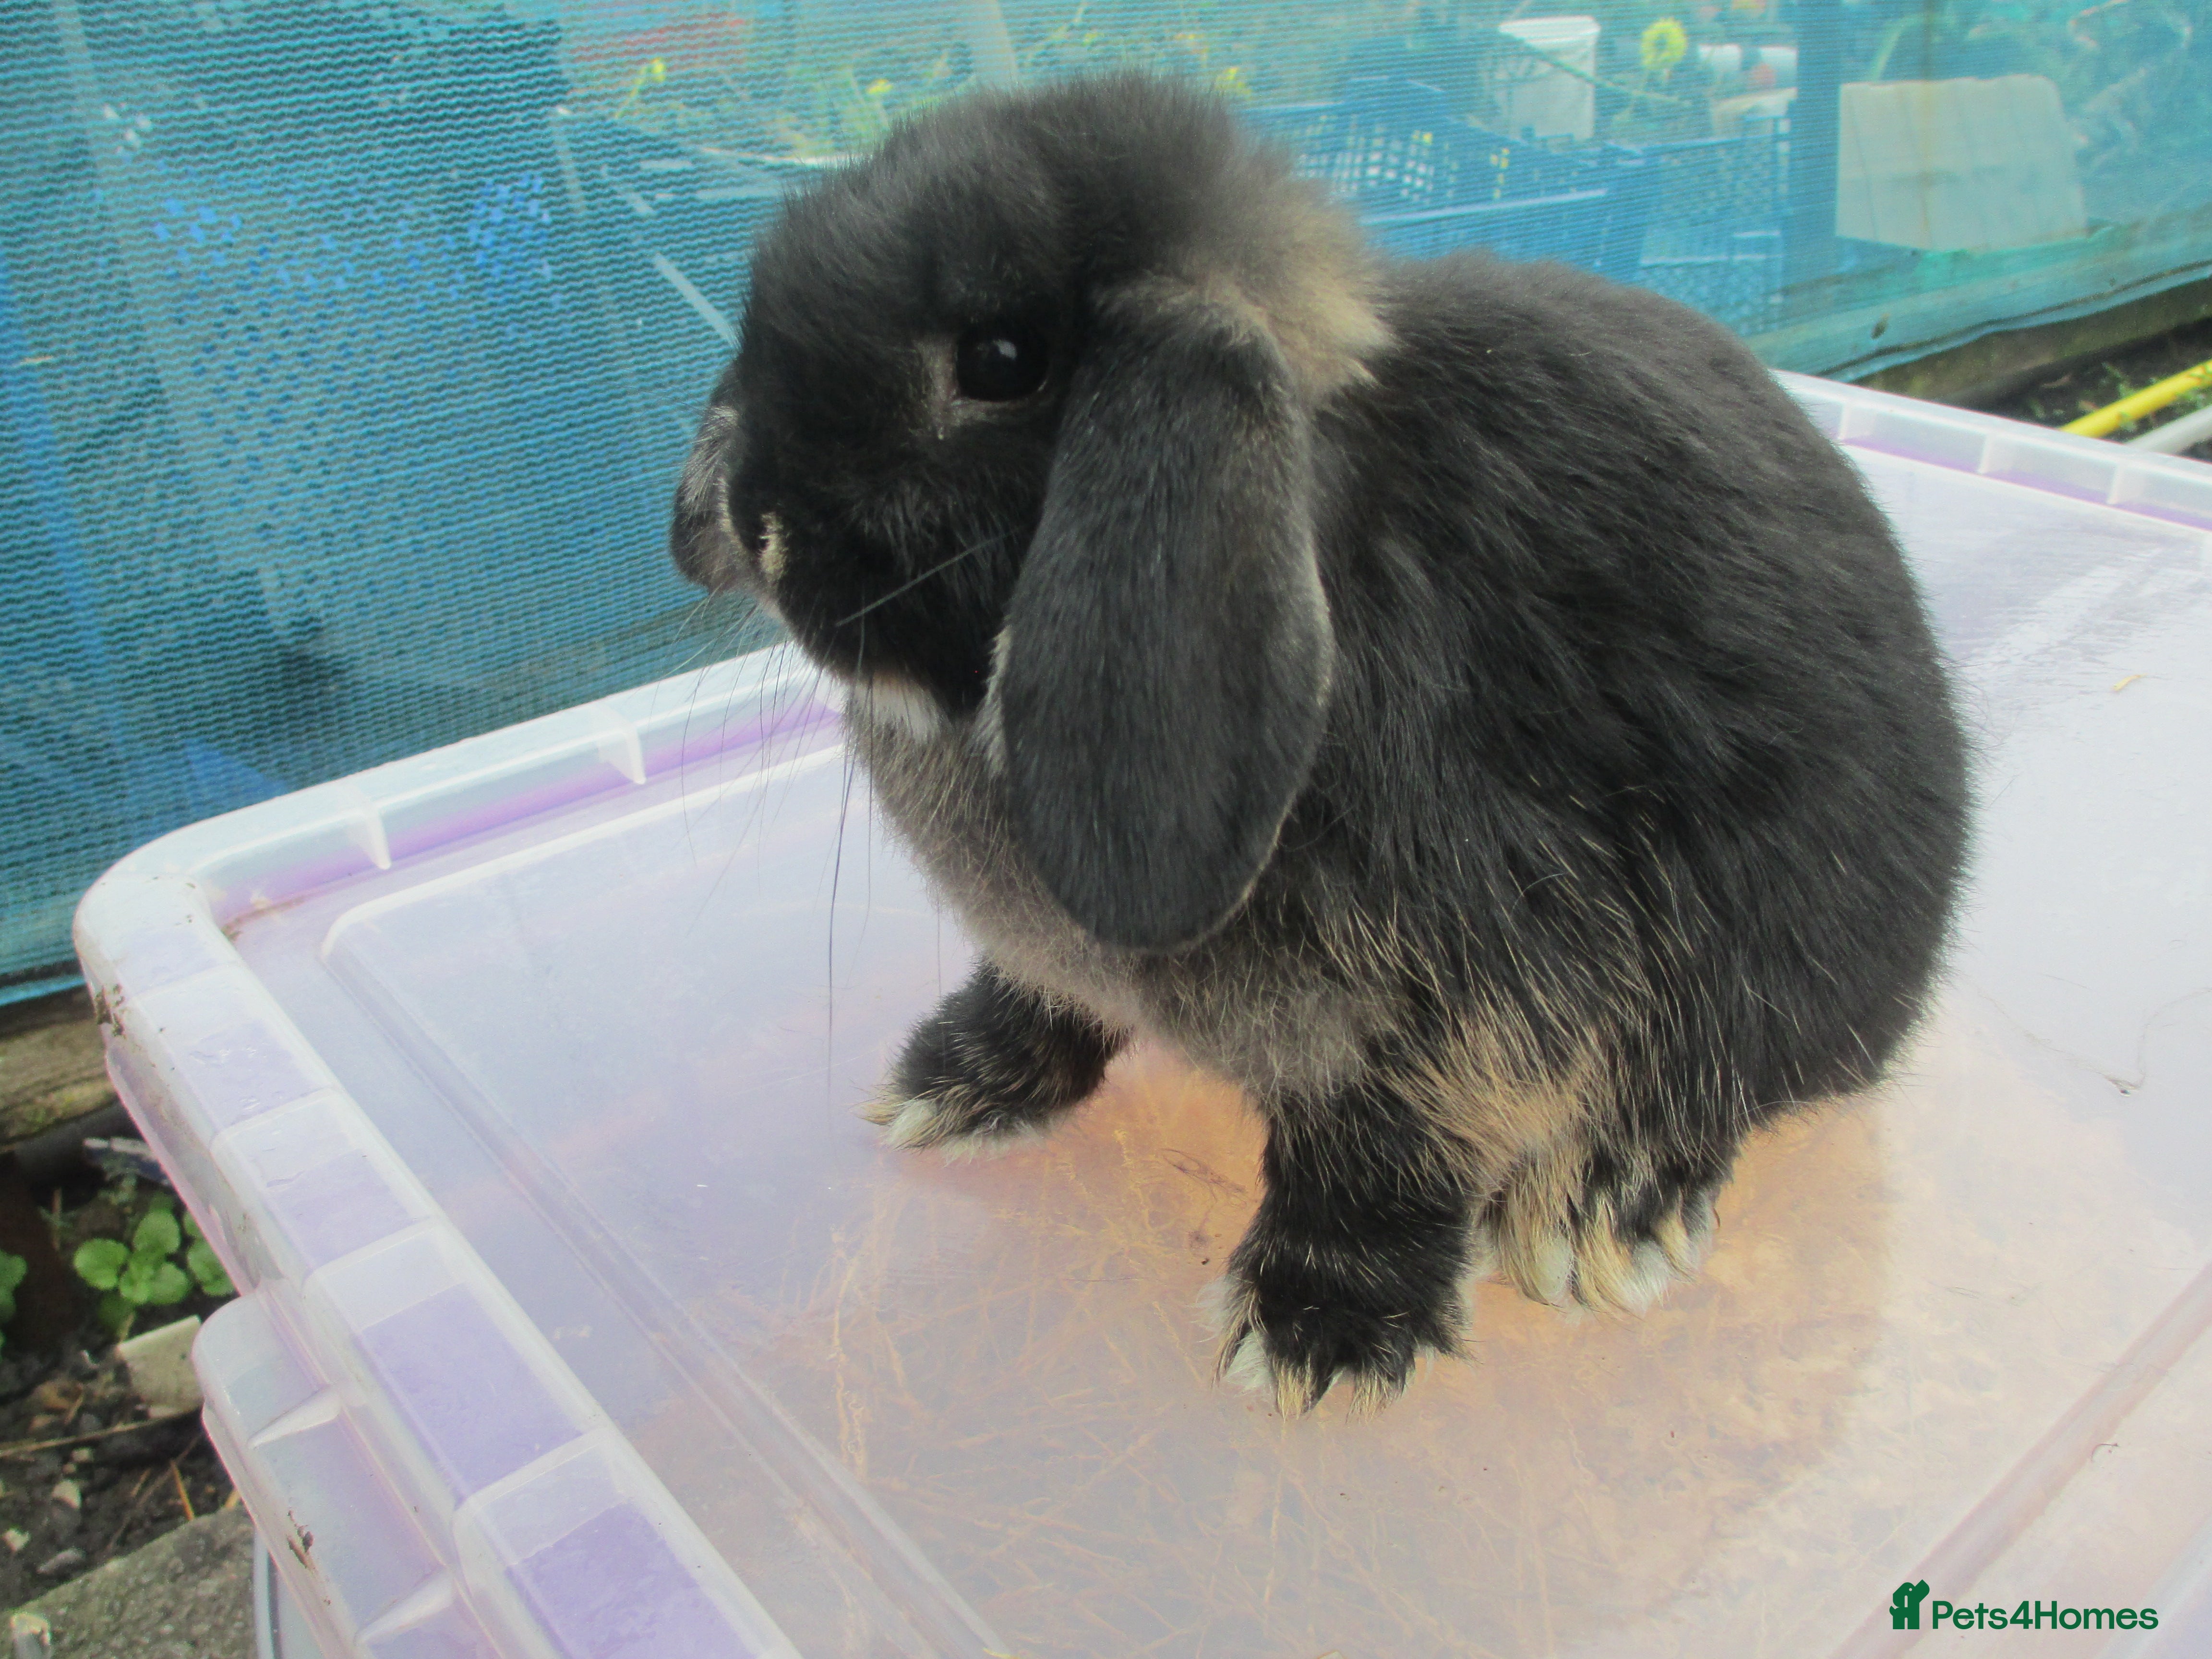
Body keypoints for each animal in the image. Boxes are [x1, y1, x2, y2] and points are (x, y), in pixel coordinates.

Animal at [669, 75, 1969, 1414]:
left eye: (1002, 361)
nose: (750, 522)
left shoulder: (1471, 986)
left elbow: (1394, 1142)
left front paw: (1315, 1331)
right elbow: (1048, 994)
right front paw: (955, 1078)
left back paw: (1597, 1207)